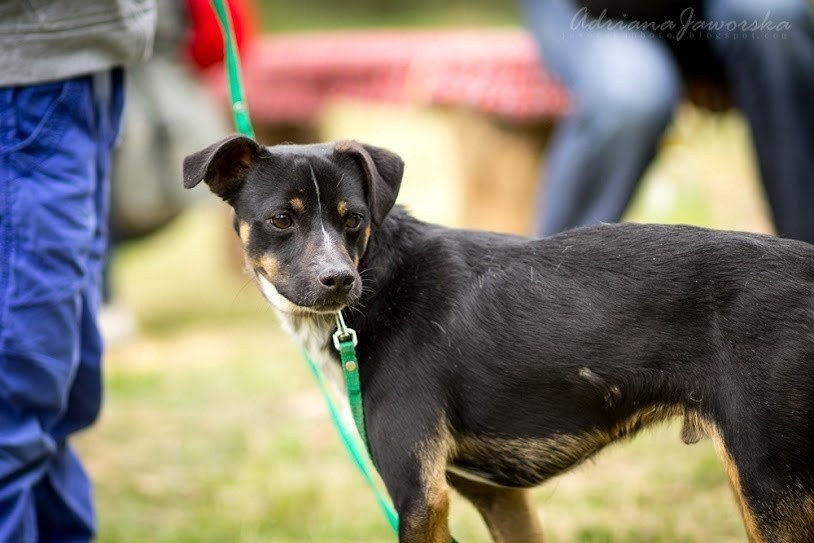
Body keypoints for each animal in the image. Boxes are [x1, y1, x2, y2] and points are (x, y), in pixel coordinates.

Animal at [182, 134, 814, 540]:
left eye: (353, 219)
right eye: (281, 220)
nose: (338, 279)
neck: (379, 279)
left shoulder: (418, 496)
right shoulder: (496, 494)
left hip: (767, 481)